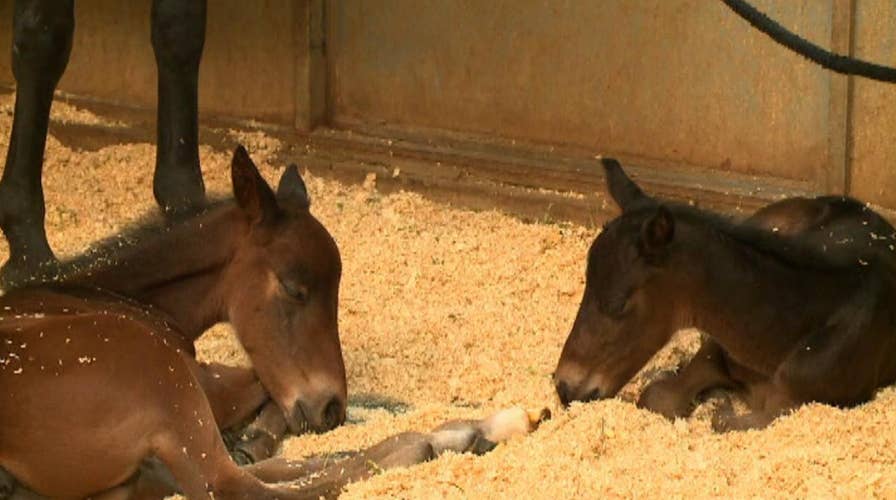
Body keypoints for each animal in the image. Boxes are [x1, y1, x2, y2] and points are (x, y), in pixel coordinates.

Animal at [554, 158, 896, 431]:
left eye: (618, 304)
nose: (563, 386)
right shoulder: (714, 348)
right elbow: (657, 396)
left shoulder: (791, 403)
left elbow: (720, 420)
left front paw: (718, 402)